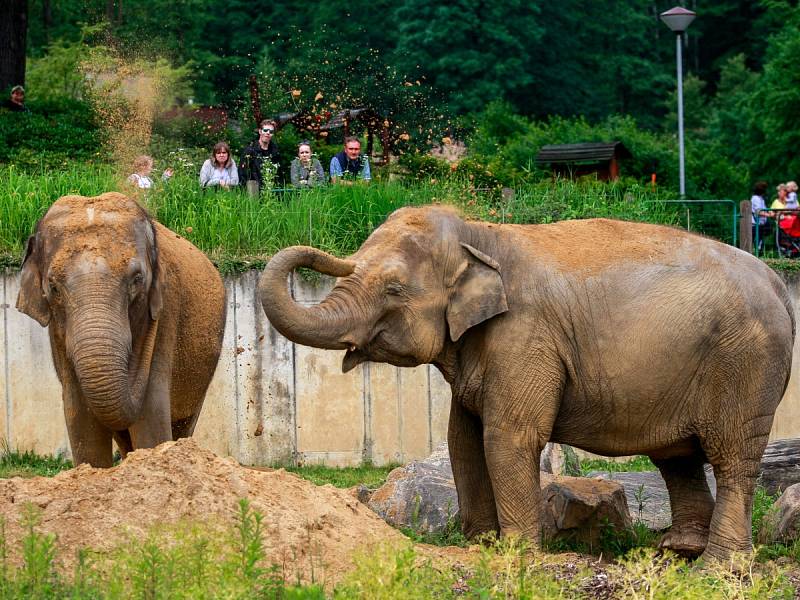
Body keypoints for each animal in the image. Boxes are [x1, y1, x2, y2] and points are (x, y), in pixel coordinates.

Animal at [16, 195, 228, 466]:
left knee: (181, 422)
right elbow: (81, 417)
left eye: (137, 280)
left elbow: (150, 412)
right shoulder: (57, 331)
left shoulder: (167, 311)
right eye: (52, 287)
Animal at [260, 206, 792, 564]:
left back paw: (717, 567)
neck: (479, 233)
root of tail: (780, 284)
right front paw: (480, 545)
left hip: (746, 364)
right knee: (678, 458)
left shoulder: (524, 335)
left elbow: (508, 437)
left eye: (393, 289)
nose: (327, 259)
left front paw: (517, 555)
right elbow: (462, 440)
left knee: (731, 458)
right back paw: (677, 552)